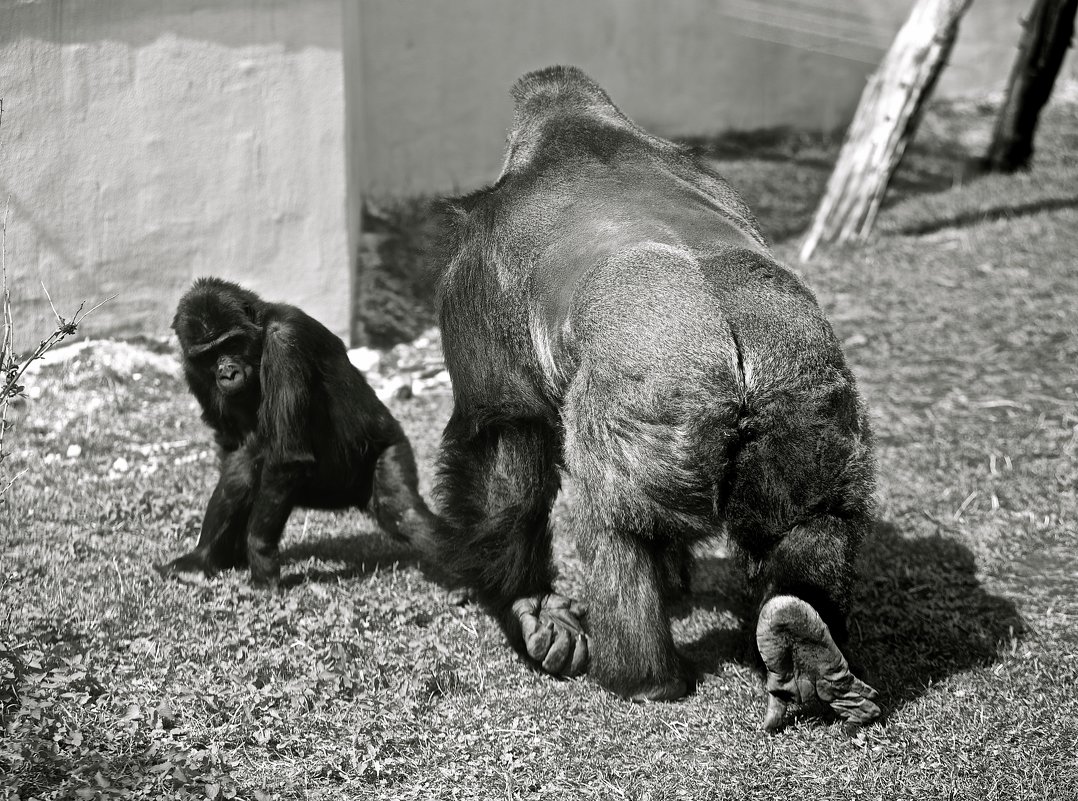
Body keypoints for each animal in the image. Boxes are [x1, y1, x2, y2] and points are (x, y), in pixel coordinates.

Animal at [156, 278, 433, 586]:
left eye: (231, 343)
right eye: (208, 355)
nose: (227, 372)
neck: (260, 334)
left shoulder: (286, 341)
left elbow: (286, 457)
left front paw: (261, 558)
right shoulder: (193, 371)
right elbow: (235, 452)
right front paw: (215, 555)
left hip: (389, 446)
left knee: (404, 512)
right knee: (246, 466)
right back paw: (202, 558)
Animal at [433, 67, 879, 733]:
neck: (576, 130)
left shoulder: (473, 267)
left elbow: (504, 451)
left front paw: (530, 606)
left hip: (657, 406)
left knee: (615, 527)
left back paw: (644, 680)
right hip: (807, 402)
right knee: (812, 519)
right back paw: (803, 641)